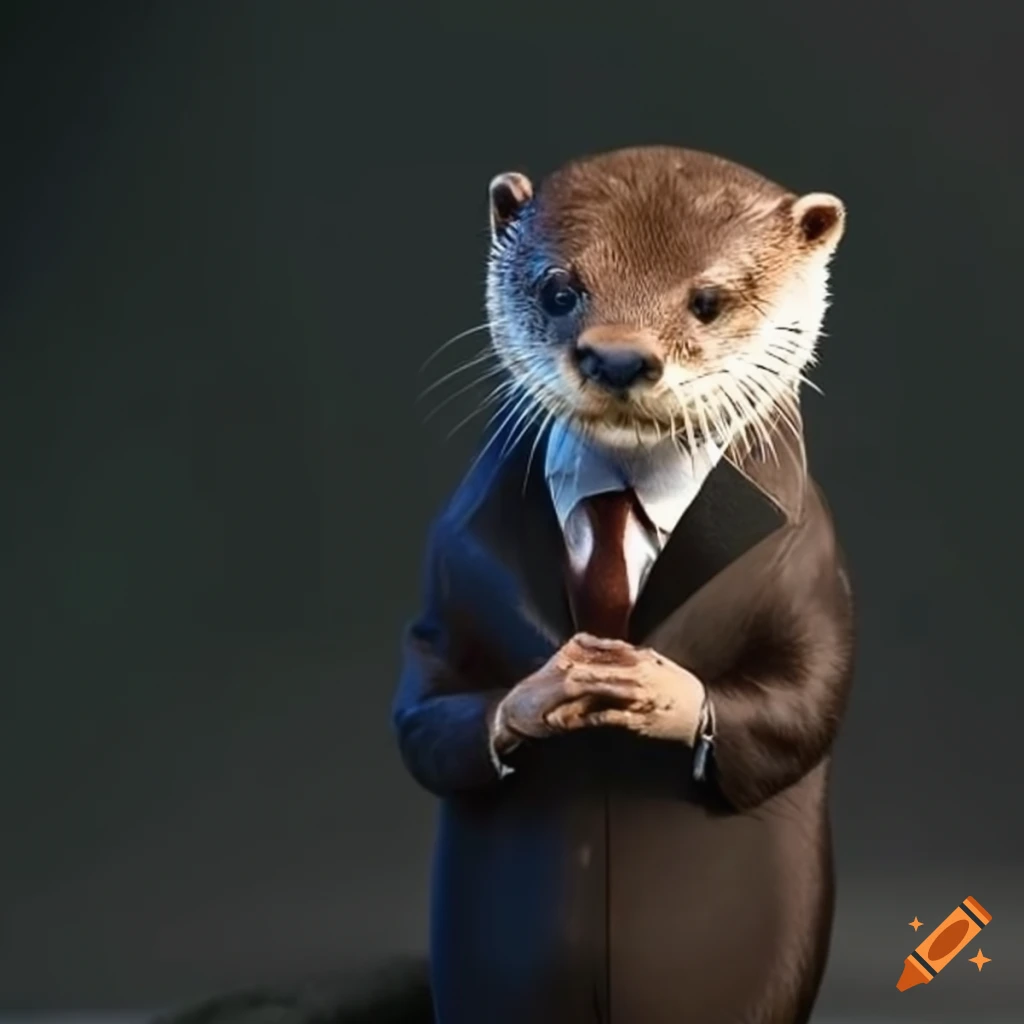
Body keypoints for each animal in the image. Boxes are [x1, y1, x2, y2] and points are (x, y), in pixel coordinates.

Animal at [159, 146, 854, 1024]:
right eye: (559, 289)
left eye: (708, 300)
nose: (618, 356)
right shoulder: (449, 562)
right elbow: (428, 700)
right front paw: (547, 688)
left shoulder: (809, 559)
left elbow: (808, 692)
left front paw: (658, 689)